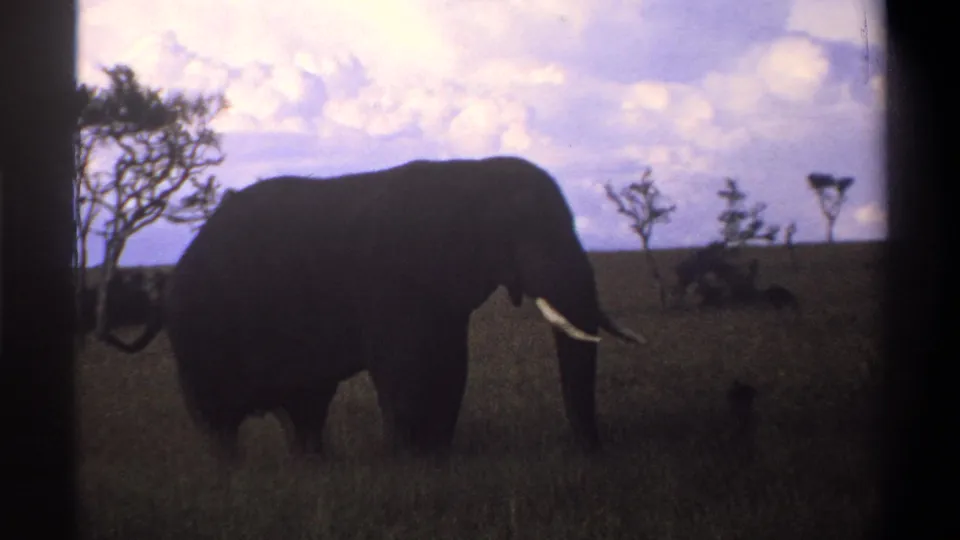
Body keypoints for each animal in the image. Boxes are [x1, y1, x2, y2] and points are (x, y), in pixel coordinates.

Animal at [102, 156, 647, 462]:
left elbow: (450, 366)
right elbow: (406, 369)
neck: (472, 174)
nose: (594, 455)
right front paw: (410, 464)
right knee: (218, 420)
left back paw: (314, 466)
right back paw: (230, 474)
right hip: (199, 336)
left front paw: (435, 459)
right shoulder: (394, 279)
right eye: (528, 231)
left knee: (306, 407)